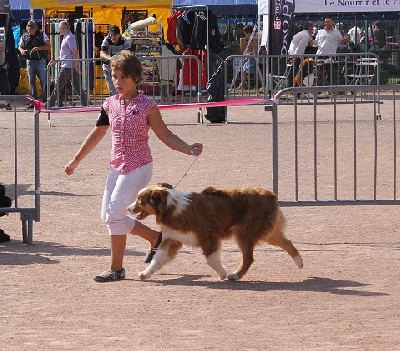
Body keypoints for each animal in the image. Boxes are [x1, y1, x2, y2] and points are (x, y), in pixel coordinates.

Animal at [128, 184, 304, 280]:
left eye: (140, 200)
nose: (128, 208)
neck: (170, 208)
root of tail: (271, 195)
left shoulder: (209, 236)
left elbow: (211, 260)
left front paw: (222, 274)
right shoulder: (171, 239)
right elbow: (156, 260)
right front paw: (145, 273)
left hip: (245, 233)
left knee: (249, 258)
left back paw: (235, 275)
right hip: (267, 233)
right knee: (288, 243)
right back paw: (299, 262)